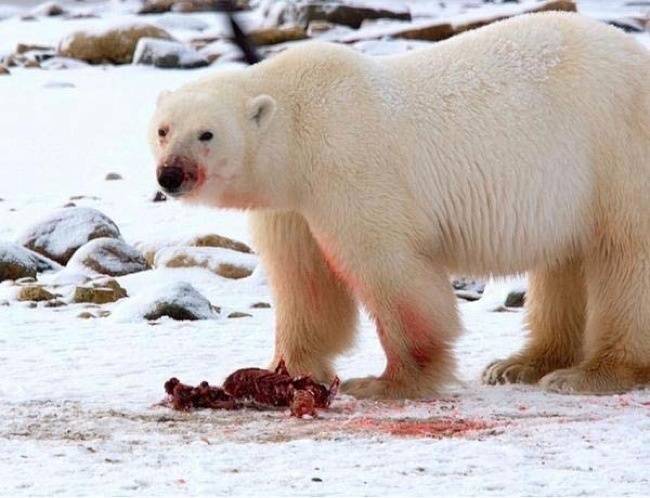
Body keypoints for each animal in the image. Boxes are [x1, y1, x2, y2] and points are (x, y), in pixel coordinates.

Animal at [148, 12, 648, 400]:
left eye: (207, 134)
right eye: (163, 129)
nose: (169, 176)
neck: (300, 124)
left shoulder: (348, 168)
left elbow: (391, 271)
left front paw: (385, 382)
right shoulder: (292, 203)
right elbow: (304, 282)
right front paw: (281, 372)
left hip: (614, 151)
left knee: (625, 258)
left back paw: (593, 374)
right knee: (565, 261)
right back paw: (520, 364)